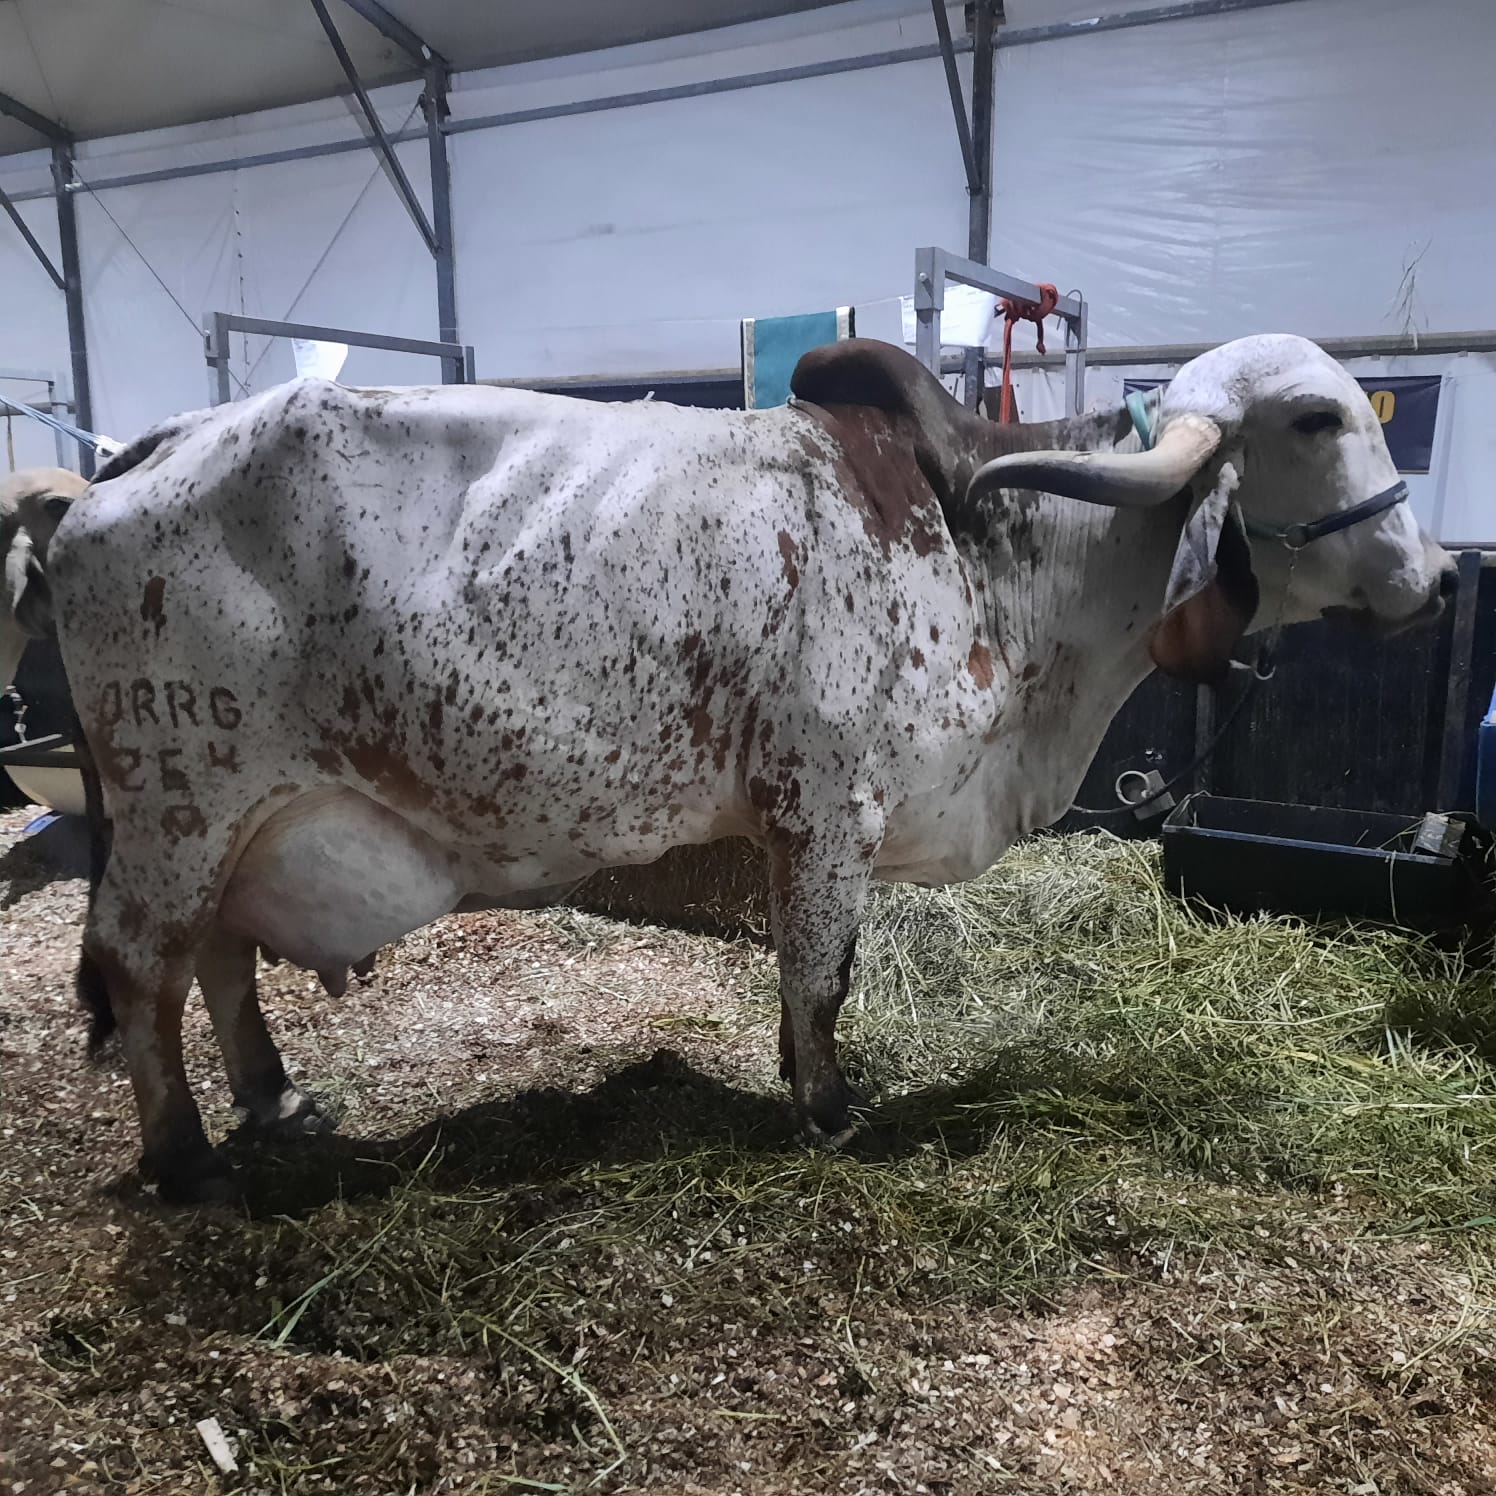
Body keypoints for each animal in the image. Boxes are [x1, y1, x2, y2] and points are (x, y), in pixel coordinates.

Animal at [5, 335, 1453, 1203]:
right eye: (1315, 418)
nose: (1440, 579)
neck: (997, 555)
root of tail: (126, 460)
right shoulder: (825, 808)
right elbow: (821, 977)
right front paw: (828, 1107)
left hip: (231, 819)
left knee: (217, 958)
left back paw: (274, 1097)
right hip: (180, 800)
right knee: (141, 970)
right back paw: (187, 1157)